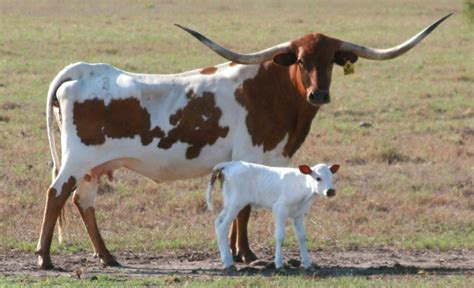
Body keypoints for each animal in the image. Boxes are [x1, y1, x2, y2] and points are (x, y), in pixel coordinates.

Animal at [206, 161, 338, 272]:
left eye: (332, 178)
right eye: (318, 178)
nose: (331, 191)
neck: (302, 185)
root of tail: (228, 164)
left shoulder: (299, 214)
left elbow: (301, 237)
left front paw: (308, 264)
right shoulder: (280, 208)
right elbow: (280, 236)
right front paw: (279, 265)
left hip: (229, 204)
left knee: (218, 222)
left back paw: (226, 260)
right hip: (236, 203)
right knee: (223, 227)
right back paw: (228, 263)